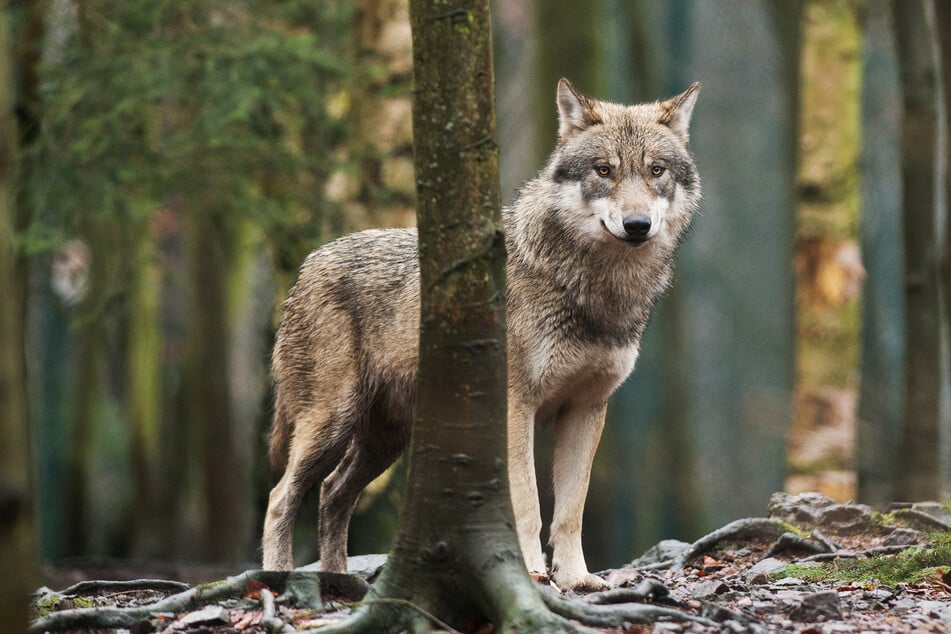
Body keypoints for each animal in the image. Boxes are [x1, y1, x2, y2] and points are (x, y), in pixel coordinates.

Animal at [261, 78, 701, 591]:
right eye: (604, 170)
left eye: (656, 170)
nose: (637, 225)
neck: (595, 290)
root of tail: (307, 265)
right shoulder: (516, 406)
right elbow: (528, 504)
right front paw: (531, 573)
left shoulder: (587, 409)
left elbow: (571, 510)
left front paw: (577, 579)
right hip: (332, 423)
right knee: (280, 498)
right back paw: (278, 580)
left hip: (384, 440)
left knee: (332, 494)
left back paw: (339, 583)